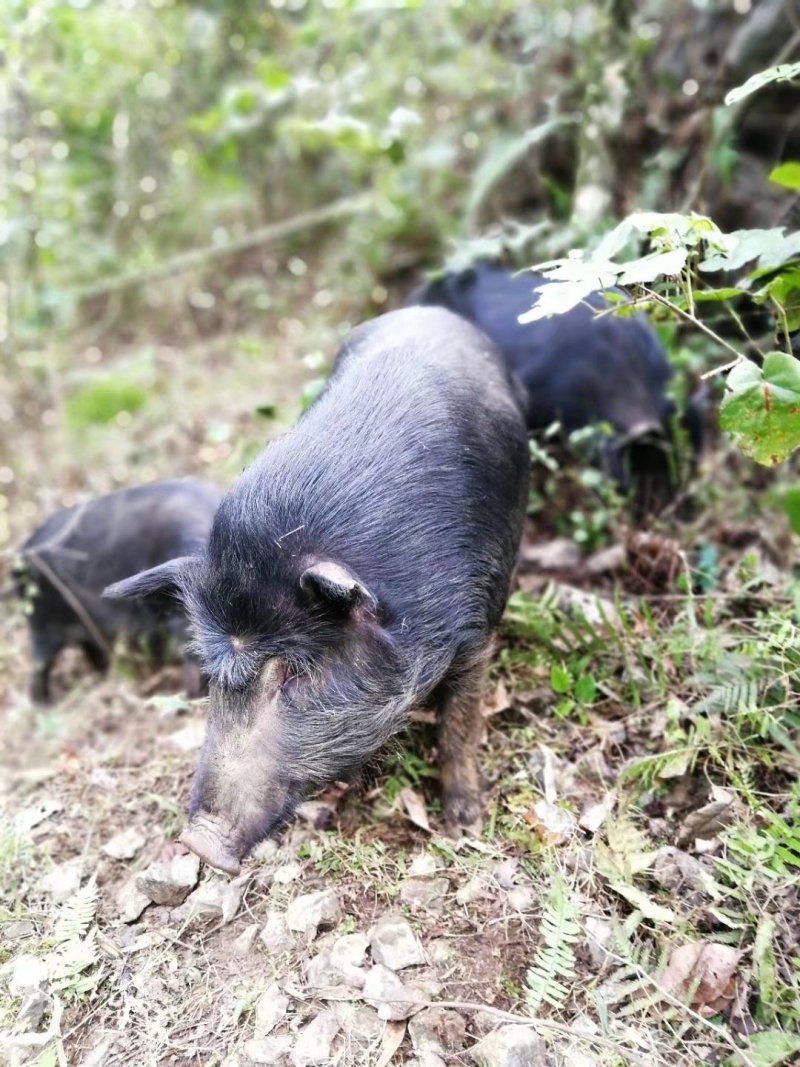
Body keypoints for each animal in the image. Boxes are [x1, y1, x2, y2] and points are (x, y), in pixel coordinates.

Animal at [106, 309, 533, 874]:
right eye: (212, 673)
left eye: (294, 673)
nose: (199, 844)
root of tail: (431, 310)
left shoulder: (477, 627)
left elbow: (459, 725)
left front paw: (465, 826)